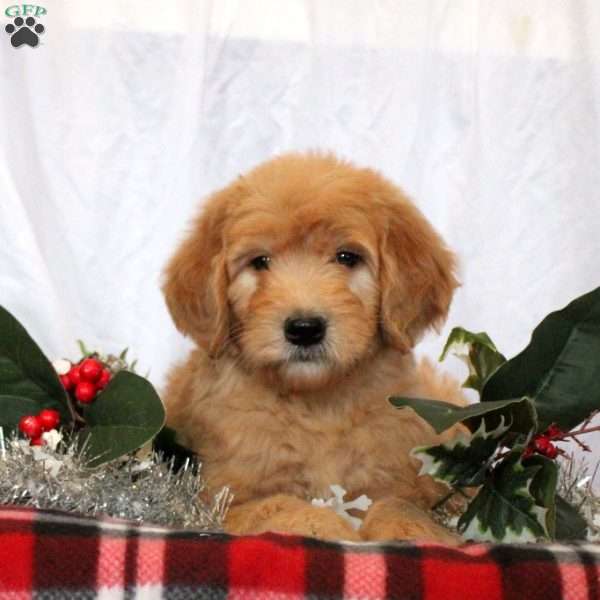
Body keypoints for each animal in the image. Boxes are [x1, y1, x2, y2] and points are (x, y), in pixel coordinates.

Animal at [162, 151, 466, 544]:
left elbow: (398, 503)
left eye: (347, 257)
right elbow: (276, 505)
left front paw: (414, 530)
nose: (304, 329)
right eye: (260, 262)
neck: (317, 406)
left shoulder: (394, 475)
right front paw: (322, 525)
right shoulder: (222, 497)